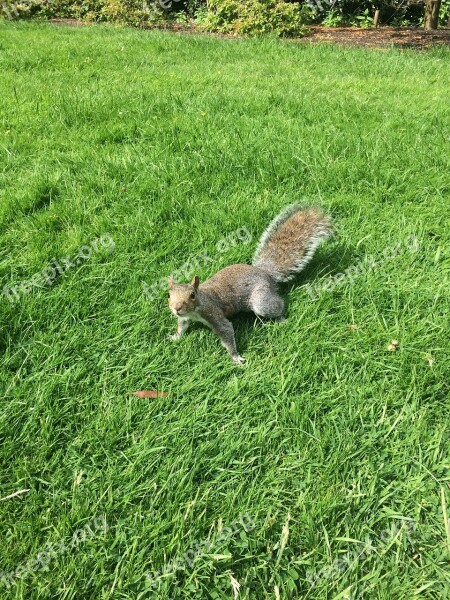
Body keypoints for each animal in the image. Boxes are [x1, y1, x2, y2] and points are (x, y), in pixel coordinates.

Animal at [168, 206, 330, 364]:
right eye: (168, 295)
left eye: (192, 295)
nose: (177, 308)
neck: (196, 308)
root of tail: (265, 272)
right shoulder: (185, 318)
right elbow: (181, 326)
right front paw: (175, 337)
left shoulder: (213, 313)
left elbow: (227, 331)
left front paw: (235, 356)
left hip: (261, 300)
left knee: (278, 304)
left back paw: (281, 319)